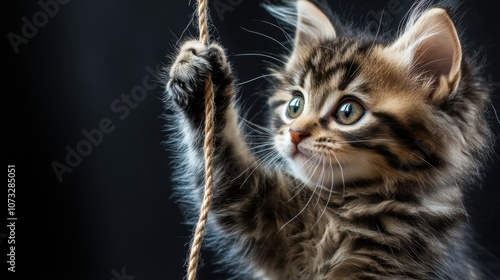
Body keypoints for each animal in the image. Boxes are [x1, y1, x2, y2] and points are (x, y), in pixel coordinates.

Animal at [165, 1, 496, 278]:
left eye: (348, 112)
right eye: (294, 106)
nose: (295, 133)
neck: (350, 207)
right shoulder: (262, 216)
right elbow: (222, 172)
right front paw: (196, 81)